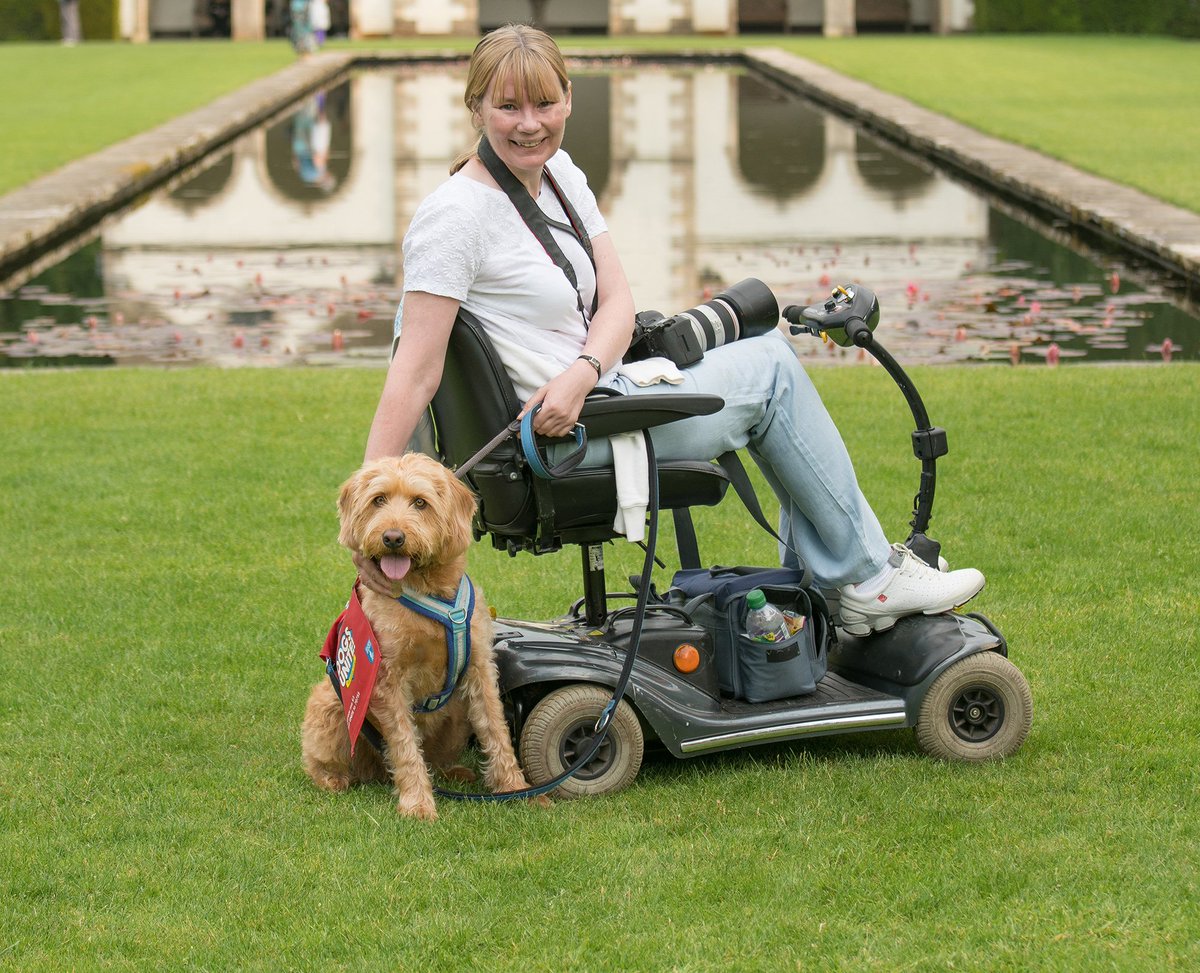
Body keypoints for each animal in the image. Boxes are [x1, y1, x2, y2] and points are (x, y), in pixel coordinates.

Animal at [302, 453, 537, 815]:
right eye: (379, 500)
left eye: (420, 502)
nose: (392, 537)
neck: (425, 586)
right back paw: (334, 778)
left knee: (438, 760)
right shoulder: (388, 679)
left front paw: (514, 787)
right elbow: (404, 743)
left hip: (457, 716)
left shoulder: (480, 668)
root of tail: (374, 772)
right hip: (331, 705)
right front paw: (417, 803)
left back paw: (455, 772)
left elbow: (495, 728)